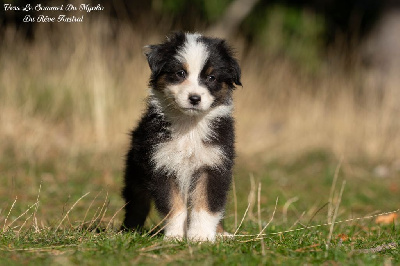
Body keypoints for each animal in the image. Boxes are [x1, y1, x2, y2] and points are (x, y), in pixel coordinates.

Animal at [121, 31, 241, 241]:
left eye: (211, 77)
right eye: (180, 73)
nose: (194, 98)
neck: (189, 126)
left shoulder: (213, 165)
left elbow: (206, 205)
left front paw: (201, 237)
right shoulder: (162, 165)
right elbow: (174, 207)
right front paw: (175, 237)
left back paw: (221, 233)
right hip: (136, 171)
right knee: (136, 202)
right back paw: (130, 230)